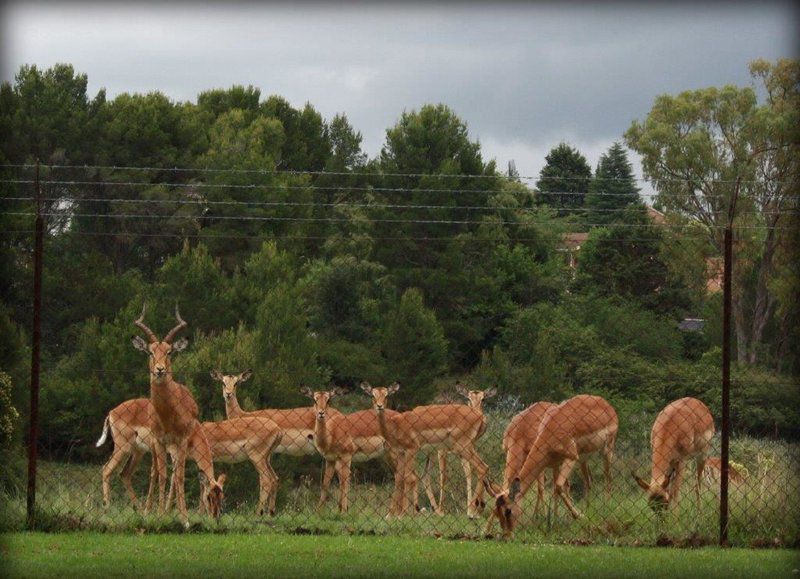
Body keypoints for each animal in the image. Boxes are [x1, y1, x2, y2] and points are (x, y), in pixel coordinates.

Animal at [131, 304, 223, 520]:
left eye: (170, 352)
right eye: (150, 352)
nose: (159, 370)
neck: (168, 414)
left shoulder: (180, 443)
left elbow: (179, 477)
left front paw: (183, 516)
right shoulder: (160, 442)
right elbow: (164, 476)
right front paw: (160, 515)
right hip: (155, 447)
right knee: (155, 472)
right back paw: (147, 510)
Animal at [300, 388, 400, 516]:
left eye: (328, 400)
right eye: (314, 399)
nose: (321, 413)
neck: (332, 432)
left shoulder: (346, 457)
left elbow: (344, 482)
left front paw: (343, 512)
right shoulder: (330, 460)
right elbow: (326, 484)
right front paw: (318, 512)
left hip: (394, 453)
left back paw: (392, 514)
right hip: (387, 455)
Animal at [360, 382, 488, 520]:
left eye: (386, 395)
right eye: (372, 395)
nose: (379, 406)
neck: (395, 425)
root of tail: (480, 416)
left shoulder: (411, 450)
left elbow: (408, 477)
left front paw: (402, 514)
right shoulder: (401, 453)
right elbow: (399, 478)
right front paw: (390, 515)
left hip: (462, 447)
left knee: (481, 468)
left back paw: (473, 512)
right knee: (482, 468)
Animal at [482, 394, 620, 540]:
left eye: (508, 511)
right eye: (496, 511)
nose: (507, 535)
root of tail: (605, 403)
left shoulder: (570, 458)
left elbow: (553, 488)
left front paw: (576, 516)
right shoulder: (554, 463)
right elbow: (555, 489)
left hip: (606, 450)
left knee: (608, 478)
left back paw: (604, 510)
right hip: (583, 459)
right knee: (588, 481)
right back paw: (587, 511)